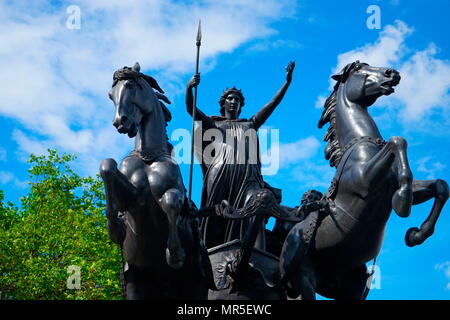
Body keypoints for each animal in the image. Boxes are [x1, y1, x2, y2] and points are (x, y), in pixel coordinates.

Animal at [100, 63, 211, 300]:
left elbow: (170, 203)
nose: (120, 122)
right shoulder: (131, 197)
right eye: (110, 95)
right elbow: (107, 166)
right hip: (138, 283)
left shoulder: (171, 191)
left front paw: (175, 254)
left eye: (130, 85)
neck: (148, 157)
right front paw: (114, 228)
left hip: (196, 286)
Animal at [280, 62, 448, 300]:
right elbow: (398, 141)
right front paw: (403, 202)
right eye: (359, 70)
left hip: (353, 283)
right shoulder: (367, 182)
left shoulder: (388, 185)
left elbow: (440, 186)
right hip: (304, 277)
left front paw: (417, 234)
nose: (392, 73)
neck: (361, 144)